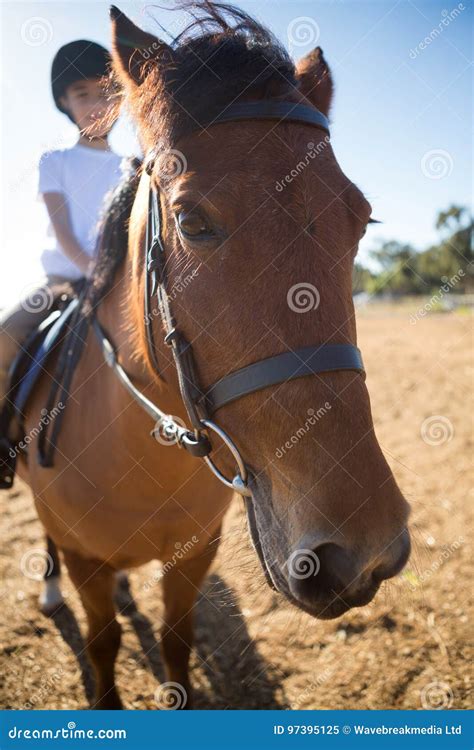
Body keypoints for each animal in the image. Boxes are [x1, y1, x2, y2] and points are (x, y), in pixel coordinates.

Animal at [16, 2, 410, 712]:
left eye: (361, 219)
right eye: (190, 221)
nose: (364, 552)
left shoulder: (195, 554)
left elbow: (175, 640)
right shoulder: (88, 561)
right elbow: (103, 645)